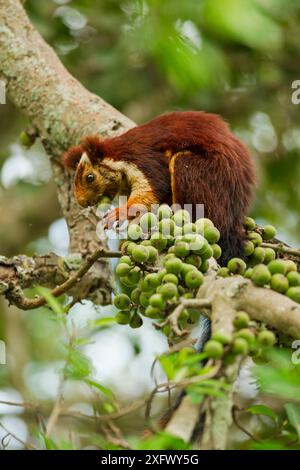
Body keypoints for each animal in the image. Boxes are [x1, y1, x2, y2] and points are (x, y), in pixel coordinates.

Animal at [63, 111, 255, 264]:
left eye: (89, 178)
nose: (82, 202)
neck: (116, 158)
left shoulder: (143, 159)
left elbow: (156, 187)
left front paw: (121, 212)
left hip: (200, 174)